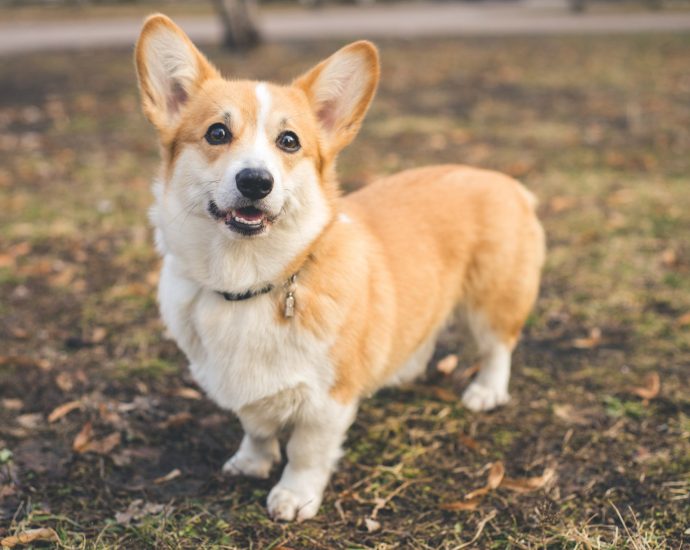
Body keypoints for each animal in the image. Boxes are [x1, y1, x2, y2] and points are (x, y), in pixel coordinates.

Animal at [133, 15, 544, 524]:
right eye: (216, 133)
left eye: (289, 141)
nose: (255, 181)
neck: (248, 281)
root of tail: (506, 181)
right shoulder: (244, 390)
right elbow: (256, 427)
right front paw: (251, 462)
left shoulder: (326, 402)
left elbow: (306, 451)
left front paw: (294, 496)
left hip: (491, 300)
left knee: (497, 347)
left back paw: (486, 391)